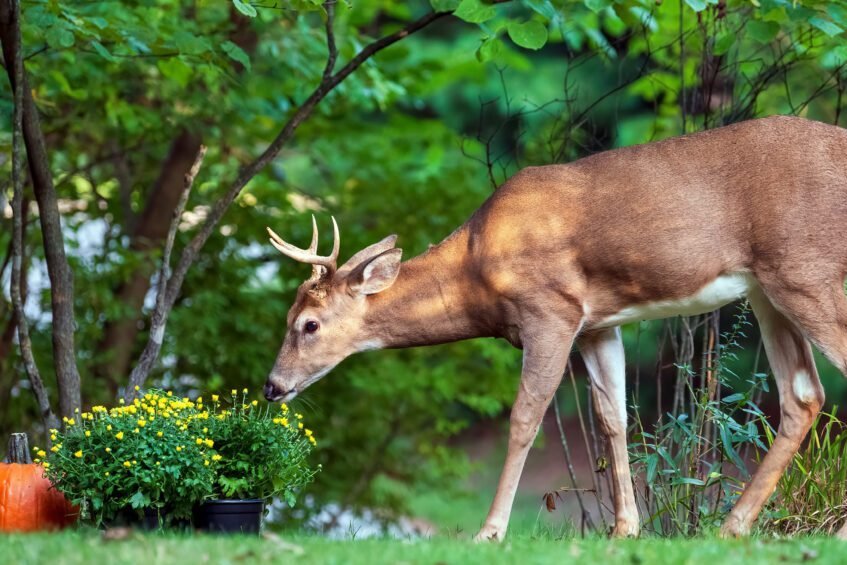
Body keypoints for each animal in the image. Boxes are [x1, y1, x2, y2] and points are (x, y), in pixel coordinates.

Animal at [262, 115, 847, 541]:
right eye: (289, 320)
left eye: (309, 324)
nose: (272, 386)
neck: (477, 267)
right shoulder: (596, 325)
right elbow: (612, 417)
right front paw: (624, 531)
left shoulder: (550, 309)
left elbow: (526, 416)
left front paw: (490, 532)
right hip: (768, 290)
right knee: (803, 396)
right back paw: (731, 529)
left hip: (805, 272)